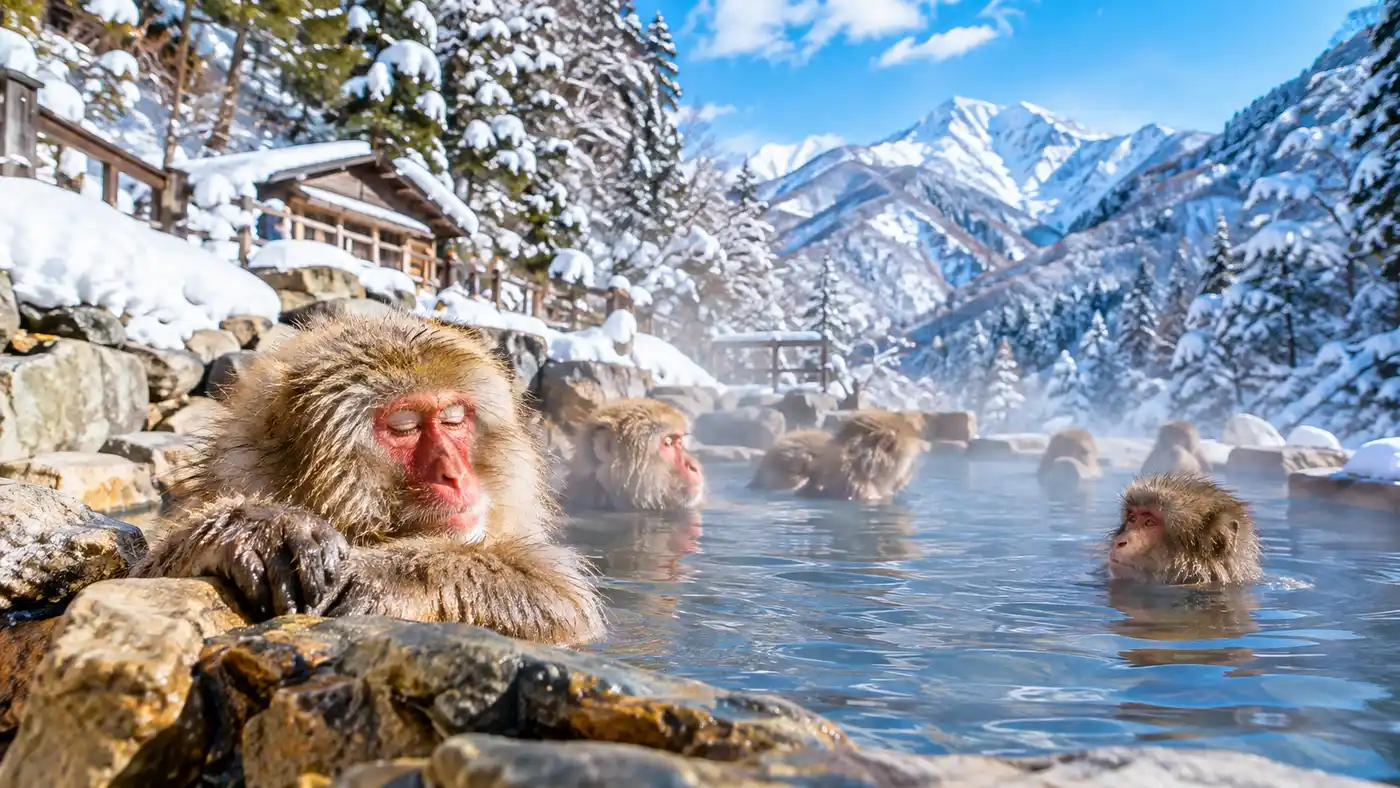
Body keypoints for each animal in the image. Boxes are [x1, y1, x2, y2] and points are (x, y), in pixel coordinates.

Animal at [131, 312, 605, 647]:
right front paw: (258, 528)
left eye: (454, 419)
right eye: (404, 426)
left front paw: (392, 573)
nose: (454, 474)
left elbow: (566, 602)